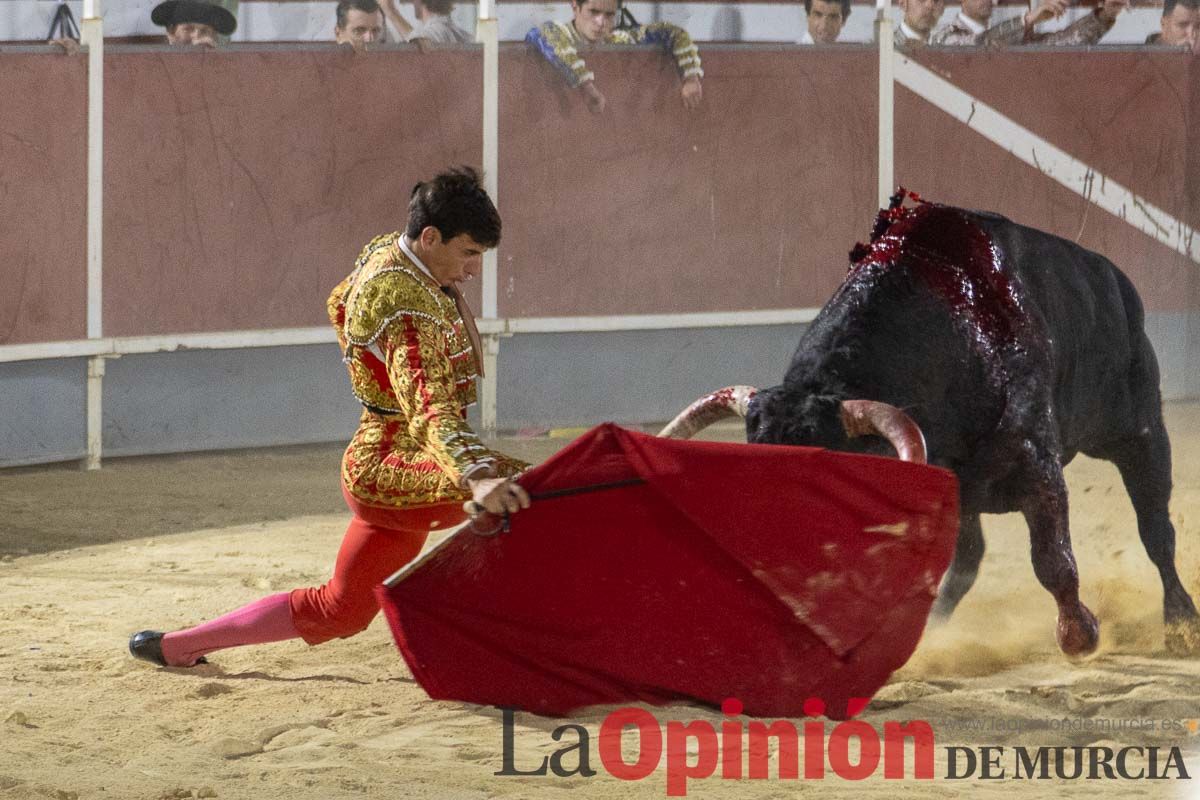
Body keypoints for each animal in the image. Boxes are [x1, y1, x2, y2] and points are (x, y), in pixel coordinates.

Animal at [667, 199, 1200, 657]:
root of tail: (1115, 281)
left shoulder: (1037, 462)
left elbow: (1053, 560)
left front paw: (1081, 635)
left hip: (1139, 433)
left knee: (1156, 529)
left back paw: (1181, 623)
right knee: (966, 561)